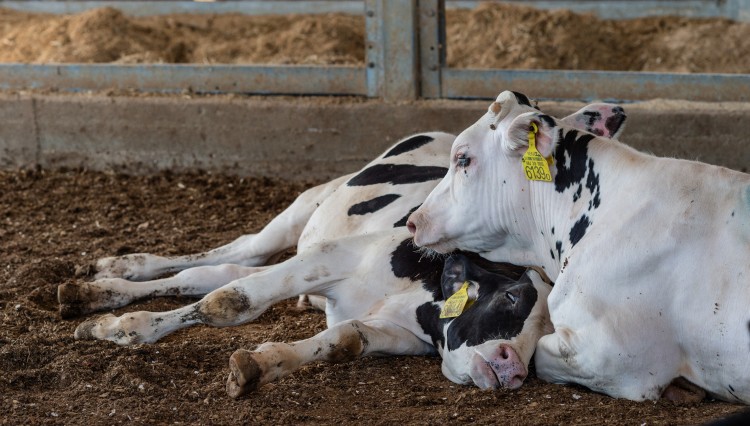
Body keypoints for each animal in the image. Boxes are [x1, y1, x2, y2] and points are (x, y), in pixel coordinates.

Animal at [55, 90, 624, 400]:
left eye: (545, 332)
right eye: (511, 297)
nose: (511, 367)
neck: (418, 293)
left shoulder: (389, 331)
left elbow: (339, 342)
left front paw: (258, 365)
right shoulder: (330, 258)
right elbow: (229, 304)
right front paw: (122, 330)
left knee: (217, 272)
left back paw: (101, 289)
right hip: (300, 212)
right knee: (227, 259)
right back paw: (112, 277)